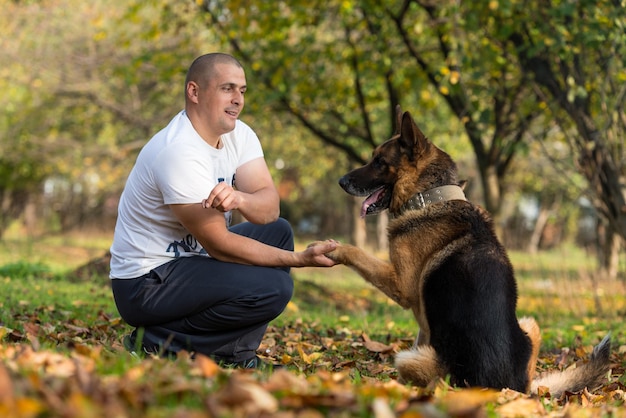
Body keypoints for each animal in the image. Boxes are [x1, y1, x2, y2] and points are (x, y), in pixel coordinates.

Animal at [324, 108, 608, 396]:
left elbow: (358, 253)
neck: (430, 196)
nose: (341, 181)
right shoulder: (423, 320)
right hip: (530, 324)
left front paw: (332, 249)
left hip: (408, 359)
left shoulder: (400, 285)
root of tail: (504, 390)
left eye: (379, 161)